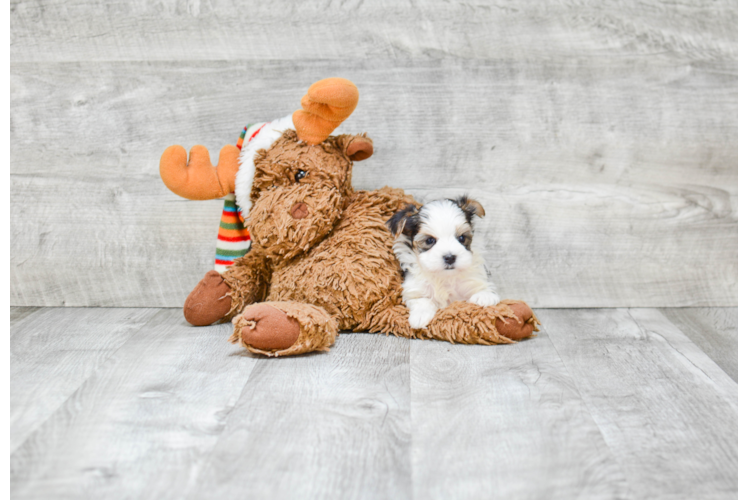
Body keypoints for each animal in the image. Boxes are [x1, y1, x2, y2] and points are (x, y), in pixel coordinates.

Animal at [388, 197, 500, 330]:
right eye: (429, 240)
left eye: (462, 238)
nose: (450, 257)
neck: (445, 277)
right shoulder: (414, 290)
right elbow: (422, 300)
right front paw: (420, 316)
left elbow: (482, 288)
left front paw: (484, 296)